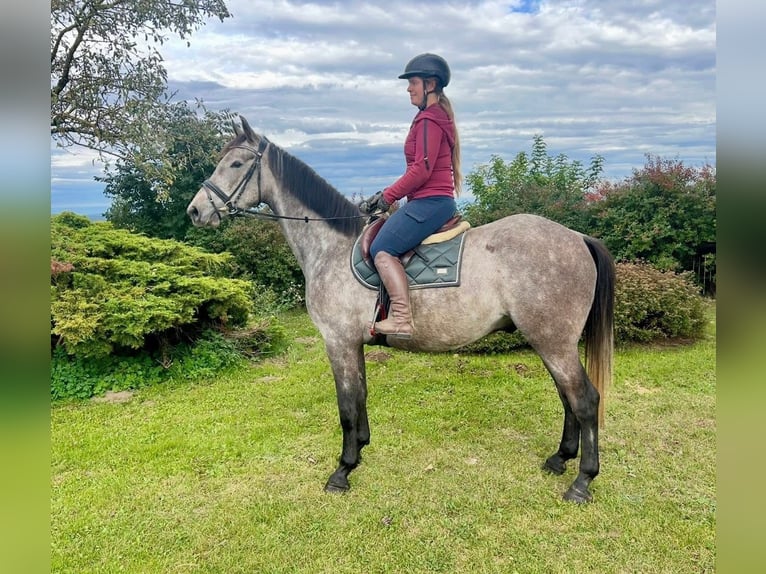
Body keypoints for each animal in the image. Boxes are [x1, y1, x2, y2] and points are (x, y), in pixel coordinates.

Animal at [186, 116, 615, 503]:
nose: (195, 211)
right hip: (550, 341)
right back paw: (560, 459)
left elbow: (346, 405)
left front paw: (342, 471)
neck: (333, 248)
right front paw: (360, 449)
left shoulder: (338, 343)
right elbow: (360, 395)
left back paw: (582, 481)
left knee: (584, 401)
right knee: (567, 397)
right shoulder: (353, 344)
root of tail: (577, 237)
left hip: (553, 341)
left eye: (236, 164)